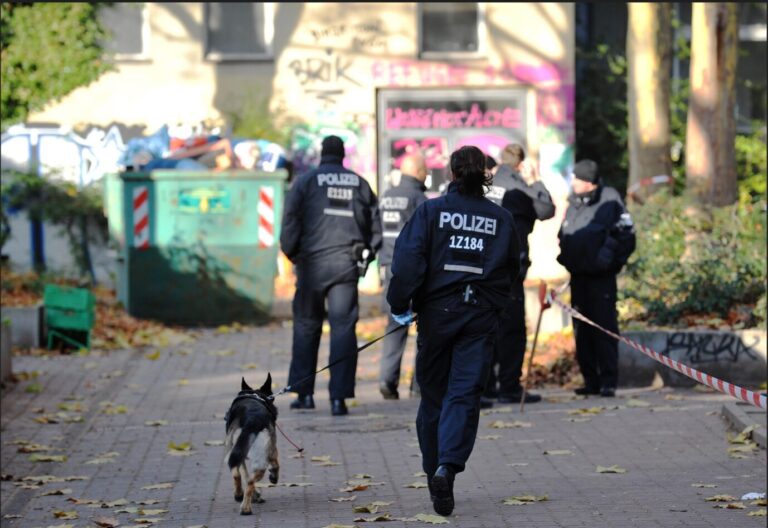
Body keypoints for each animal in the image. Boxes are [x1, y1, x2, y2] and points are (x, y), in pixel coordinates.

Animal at [225, 376, 280, 516]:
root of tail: (252, 419)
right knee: (250, 480)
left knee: (238, 474)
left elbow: (244, 474)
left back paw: (239, 496)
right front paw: (273, 477)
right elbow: (276, 465)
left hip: (233, 452)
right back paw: (246, 507)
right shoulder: (272, 451)